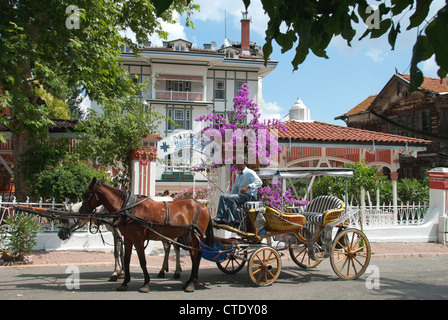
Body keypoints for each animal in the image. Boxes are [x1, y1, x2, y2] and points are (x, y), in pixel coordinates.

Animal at [79, 178, 214, 292]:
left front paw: (145, 283)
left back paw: (191, 282)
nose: (81, 211)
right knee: (193, 255)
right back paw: (189, 281)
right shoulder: (128, 239)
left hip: (196, 236)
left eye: (86, 195)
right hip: (187, 236)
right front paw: (124, 282)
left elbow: (142, 261)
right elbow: (126, 260)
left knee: (196, 254)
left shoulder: (138, 239)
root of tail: (203, 206)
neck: (128, 208)